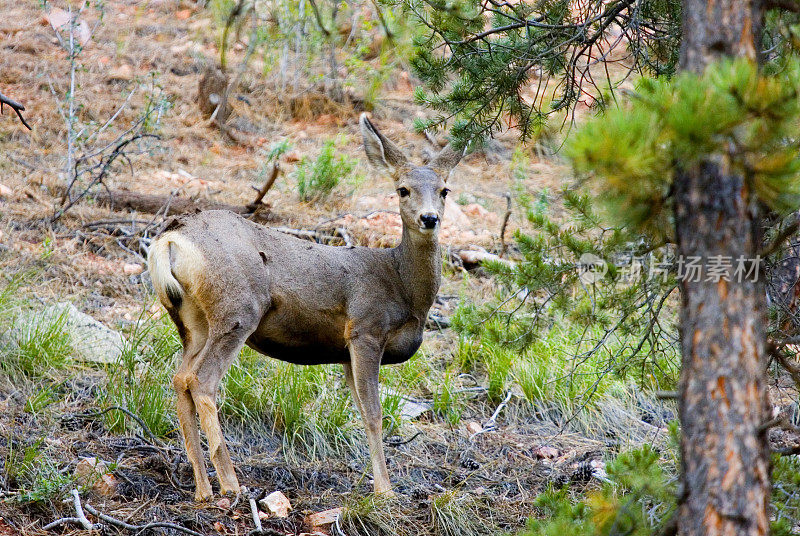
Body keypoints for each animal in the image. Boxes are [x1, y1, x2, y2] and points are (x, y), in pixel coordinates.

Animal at [148, 112, 462, 498]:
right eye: (402, 189)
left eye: (445, 189)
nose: (430, 218)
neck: (401, 286)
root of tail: (171, 240)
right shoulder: (365, 329)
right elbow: (374, 414)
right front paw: (385, 491)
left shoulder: (345, 353)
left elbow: (361, 411)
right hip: (238, 309)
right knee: (202, 381)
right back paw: (231, 485)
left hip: (192, 320)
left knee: (180, 378)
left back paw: (203, 489)